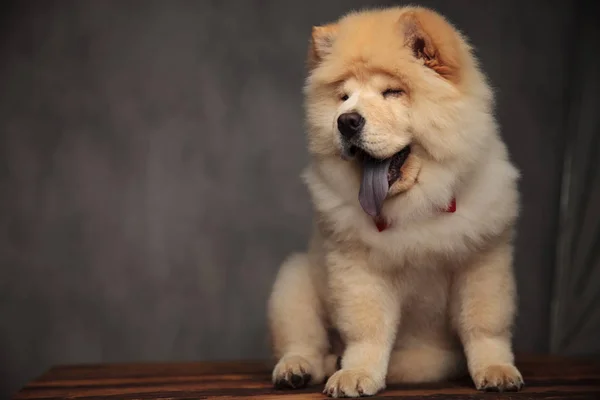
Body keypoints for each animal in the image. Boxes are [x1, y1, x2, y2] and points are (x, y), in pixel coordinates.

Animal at [268, 5, 524, 396]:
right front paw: (355, 374)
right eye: (344, 97)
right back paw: (298, 368)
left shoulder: (483, 259)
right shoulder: (358, 268)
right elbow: (367, 330)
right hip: (293, 279)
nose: (346, 121)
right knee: (304, 340)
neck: (417, 203)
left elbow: (484, 324)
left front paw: (496, 370)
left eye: (391, 92)